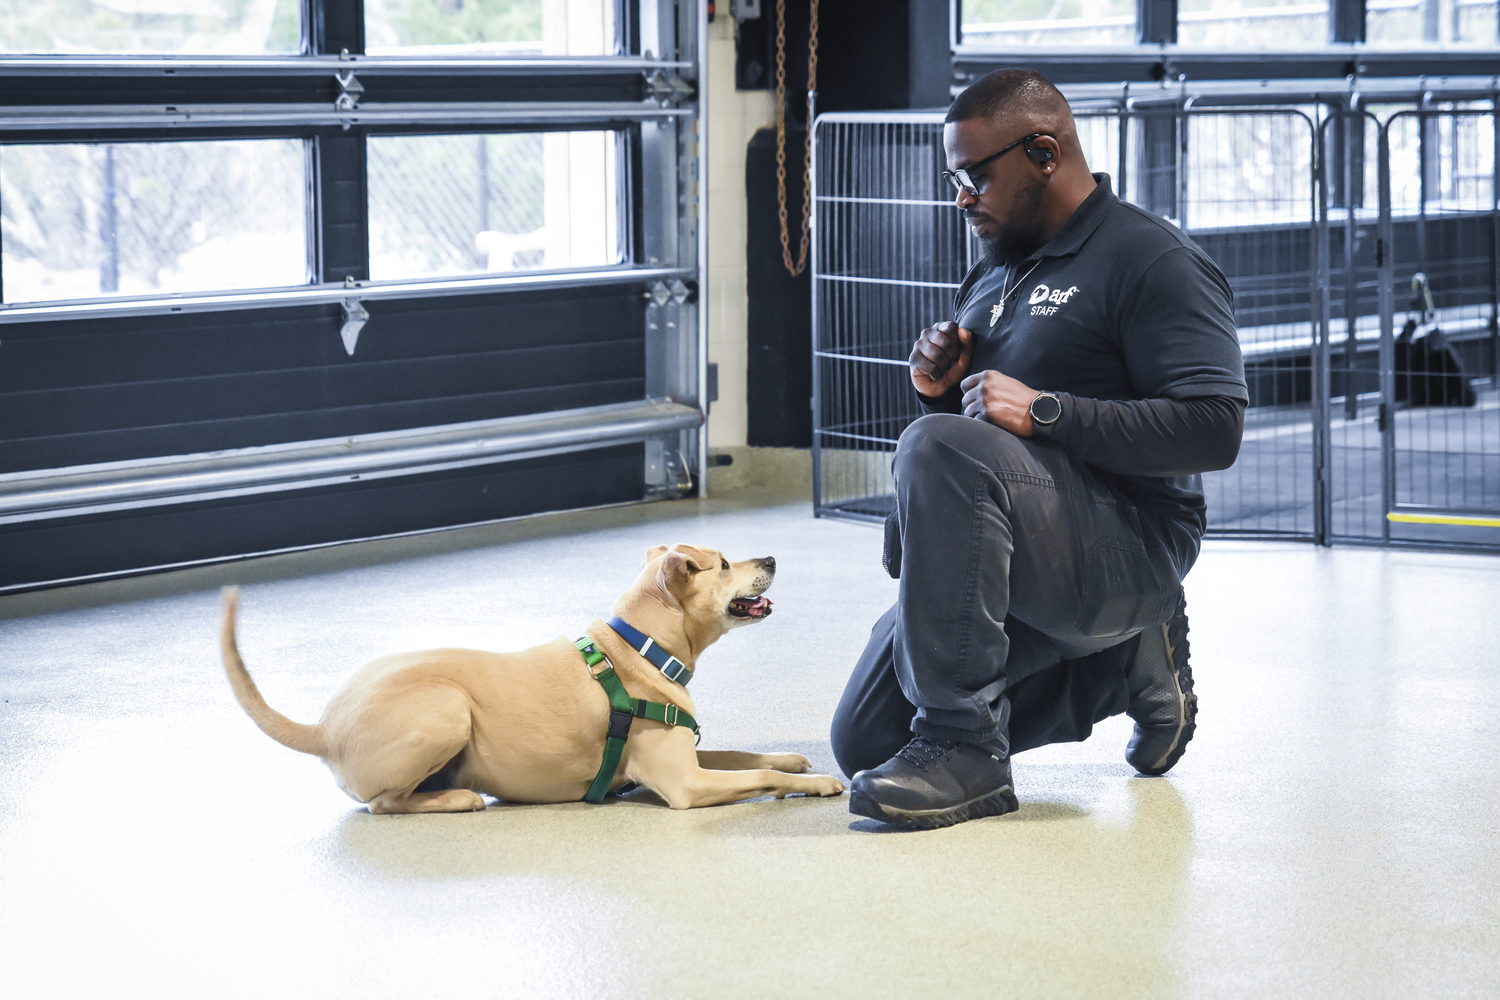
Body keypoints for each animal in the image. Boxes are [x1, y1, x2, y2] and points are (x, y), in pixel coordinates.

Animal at [216, 548, 846, 815]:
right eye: (723, 565)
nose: (771, 557)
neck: (639, 648)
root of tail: (323, 728)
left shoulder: (689, 757)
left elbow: (745, 754)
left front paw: (795, 761)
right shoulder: (683, 785)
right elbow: (757, 775)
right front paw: (816, 785)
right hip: (447, 710)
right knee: (384, 804)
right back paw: (456, 799)